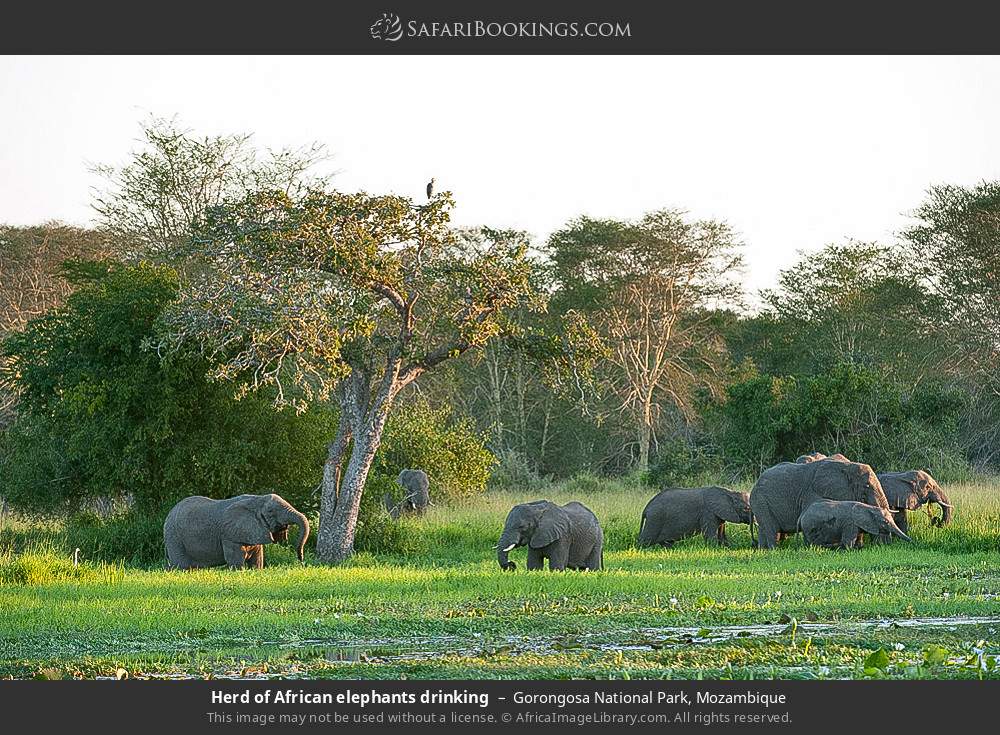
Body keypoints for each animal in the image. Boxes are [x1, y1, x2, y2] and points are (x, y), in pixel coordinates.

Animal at [163, 493, 310, 569]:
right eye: (270, 511)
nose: (301, 559)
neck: (257, 499)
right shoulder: (229, 535)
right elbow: (236, 561)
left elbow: (258, 559)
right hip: (173, 537)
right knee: (182, 566)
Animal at [750, 455, 890, 549]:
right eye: (867, 486)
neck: (847, 466)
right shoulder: (812, 492)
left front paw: (858, 547)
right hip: (760, 501)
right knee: (771, 528)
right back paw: (773, 550)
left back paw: (763, 549)